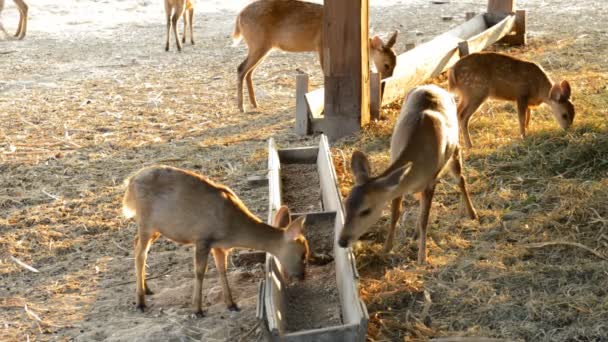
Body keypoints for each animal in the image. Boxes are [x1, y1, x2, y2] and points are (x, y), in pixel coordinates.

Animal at [121, 165, 308, 316]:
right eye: (303, 254)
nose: (302, 276)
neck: (232, 228)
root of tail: (130, 182)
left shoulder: (219, 246)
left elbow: (222, 270)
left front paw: (231, 304)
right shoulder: (202, 238)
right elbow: (200, 272)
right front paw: (197, 310)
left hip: (156, 228)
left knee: (136, 243)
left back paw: (147, 288)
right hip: (146, 221)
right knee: (140, 253)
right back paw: (140, 302)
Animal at [232, 0, 400, 112]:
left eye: (395, 63)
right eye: (386, 64)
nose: (386, 80)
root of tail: (239, 18)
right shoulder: (321, 46)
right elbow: (325, 72)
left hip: (263, 46)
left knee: (248, 71)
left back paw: (254, 104)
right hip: (258, 43)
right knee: (241, 68)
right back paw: (241, 107)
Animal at [340, 85, 478, 264]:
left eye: (366, 210)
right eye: (345, 205)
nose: (342, 241)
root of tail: (434, 87)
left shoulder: (431, 181)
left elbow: (424, 220)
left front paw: (422, 257)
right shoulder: (398, 181)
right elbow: (395, 214)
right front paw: (386, 249)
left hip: (455, 150)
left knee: (461, 179)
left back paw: (472, 213)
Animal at [446, 51, 576, 148]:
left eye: (574, 113)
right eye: (564, 115)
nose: (567, 129)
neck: (539, 90)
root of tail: (452, 73)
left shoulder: (527, 100)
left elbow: (528, 115)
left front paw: (527, 130)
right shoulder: (521, 94)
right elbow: (521, 118)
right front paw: (523, 136)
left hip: (466, 95)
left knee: (457, 112)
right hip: (476, 91)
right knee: (463, 116)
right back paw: (469, 145)